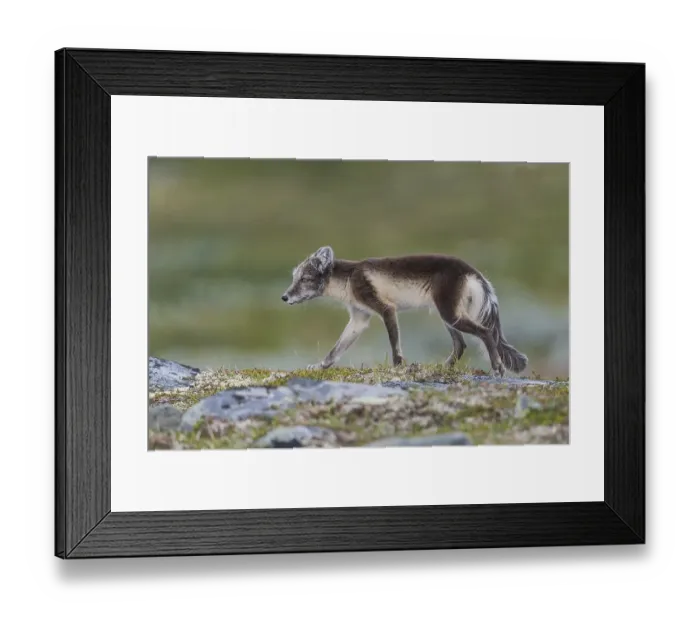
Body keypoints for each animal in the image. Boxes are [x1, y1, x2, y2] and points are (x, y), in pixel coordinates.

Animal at [281, 246, 528, 377]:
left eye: (304, 279)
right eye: (294, 278)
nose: (284, 297)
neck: (349, 278)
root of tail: (473, 271)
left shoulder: (386, 309)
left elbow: (394, 345)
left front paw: (398, 368)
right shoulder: (359, 317)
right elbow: (336, 349)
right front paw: (319, 367)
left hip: (451, 315)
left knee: (485, 332)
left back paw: (497, 368)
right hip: (448, 316)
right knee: (460, 345)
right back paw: (441, 368)